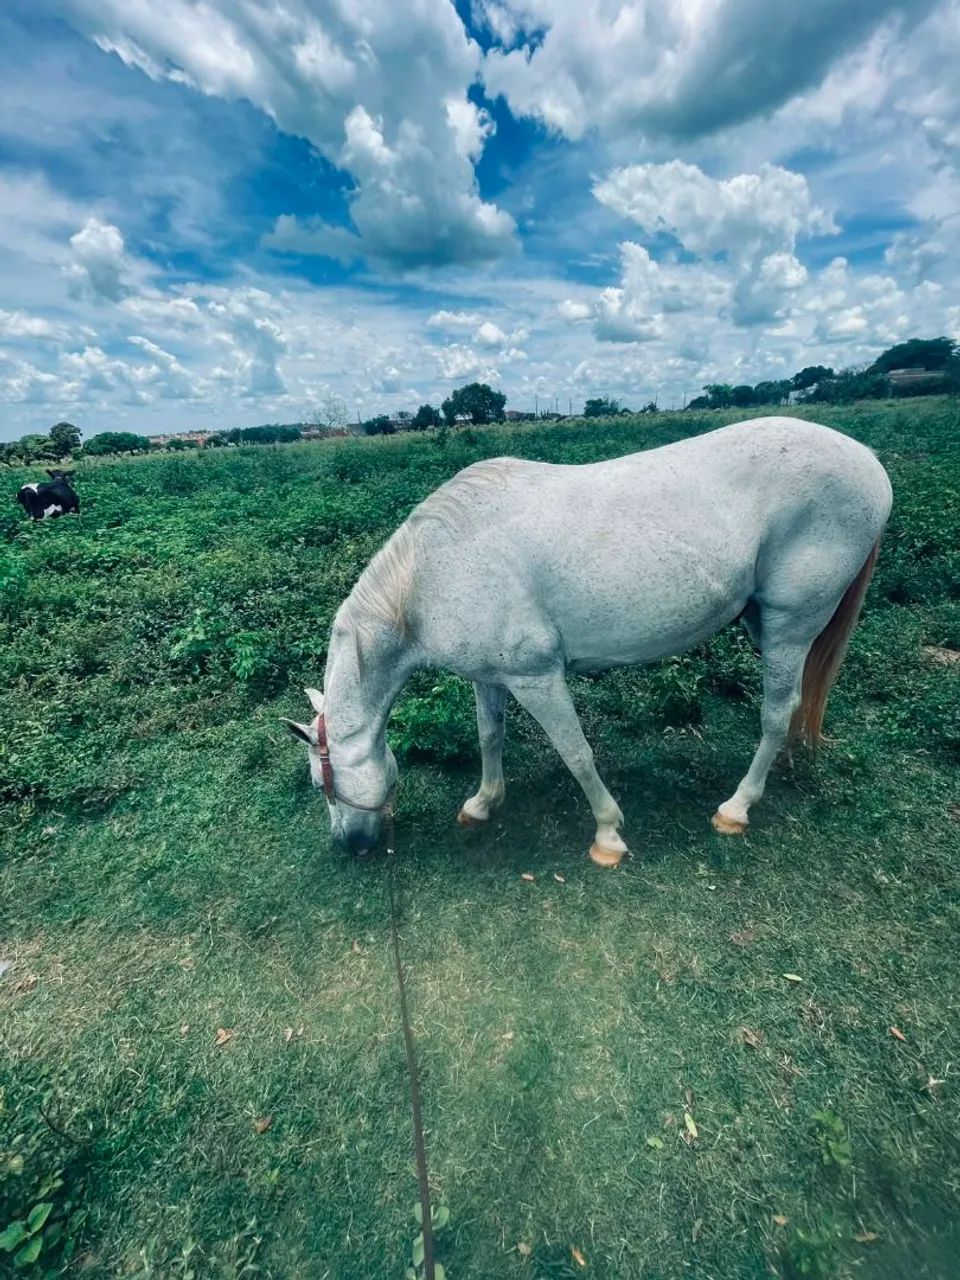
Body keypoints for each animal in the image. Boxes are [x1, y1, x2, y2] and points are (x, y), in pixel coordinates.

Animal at [284, 417, 892, 864]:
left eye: (319, 783)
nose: (349, 845)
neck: (434, 571)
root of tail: (869, 462)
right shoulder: (490, 677)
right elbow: (489, 735)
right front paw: (483, 802)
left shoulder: (537, 677)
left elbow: (575, 752)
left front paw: (607, 834)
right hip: (763, 621)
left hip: (791, 622)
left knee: (775, 711)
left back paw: (737, 807)